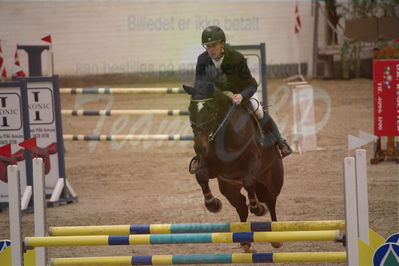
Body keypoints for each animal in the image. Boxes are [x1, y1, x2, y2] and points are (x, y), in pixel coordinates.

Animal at [183, 83, 286, 251]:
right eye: (190, 109)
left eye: (211, 111)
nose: (199, 148)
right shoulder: (212, 167)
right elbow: (201, 176)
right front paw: (212, 204)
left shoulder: (253, 160)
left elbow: (249, 181)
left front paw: (257, 208)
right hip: (229, 188)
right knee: (241, 206)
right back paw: (245, 242)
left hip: (274, 180)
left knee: (270, 200)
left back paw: (275, 236)